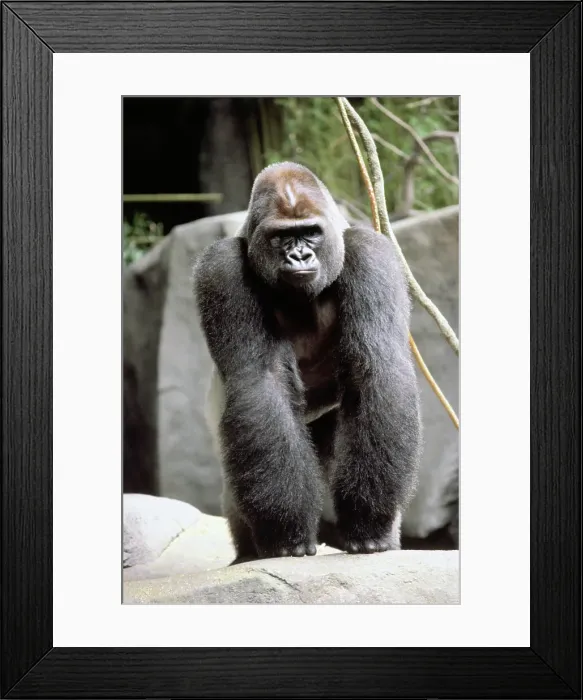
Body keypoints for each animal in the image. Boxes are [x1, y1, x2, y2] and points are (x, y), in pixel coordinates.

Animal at [193, 161, 421, 563]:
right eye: (282, 237)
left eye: (310, 233)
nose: (299, 256)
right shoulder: (220, 268)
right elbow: (261, 381)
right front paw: (286, 532)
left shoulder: (371, 253)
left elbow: (376, 367)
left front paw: (368, 522)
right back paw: (248, 552)